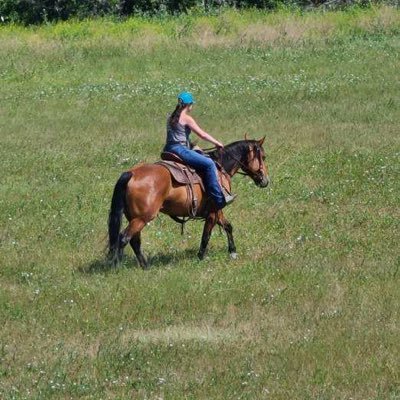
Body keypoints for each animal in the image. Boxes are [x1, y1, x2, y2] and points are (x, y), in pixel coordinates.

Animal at [107, 136, 268, 270]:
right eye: (263, 157)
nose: (265, 180)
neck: (220, 167)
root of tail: (132, 173)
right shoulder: (213, 212)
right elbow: (206, 236)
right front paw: (200, 257)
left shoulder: (216, 211)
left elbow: (228, 226)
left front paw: (233, 252)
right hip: (142, 218)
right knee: (123, 238)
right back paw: (117, 266)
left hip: (134, 218)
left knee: (134, 241)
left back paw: (145, 266)